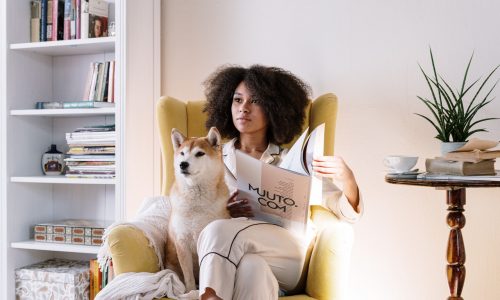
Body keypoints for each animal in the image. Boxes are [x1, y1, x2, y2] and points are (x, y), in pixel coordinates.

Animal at [167, 127, 231, 292]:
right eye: (182, 153)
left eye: (200, 153)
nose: (183, 164)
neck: (196, 203)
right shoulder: (182, 242)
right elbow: (188, 276)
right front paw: (190, 291)